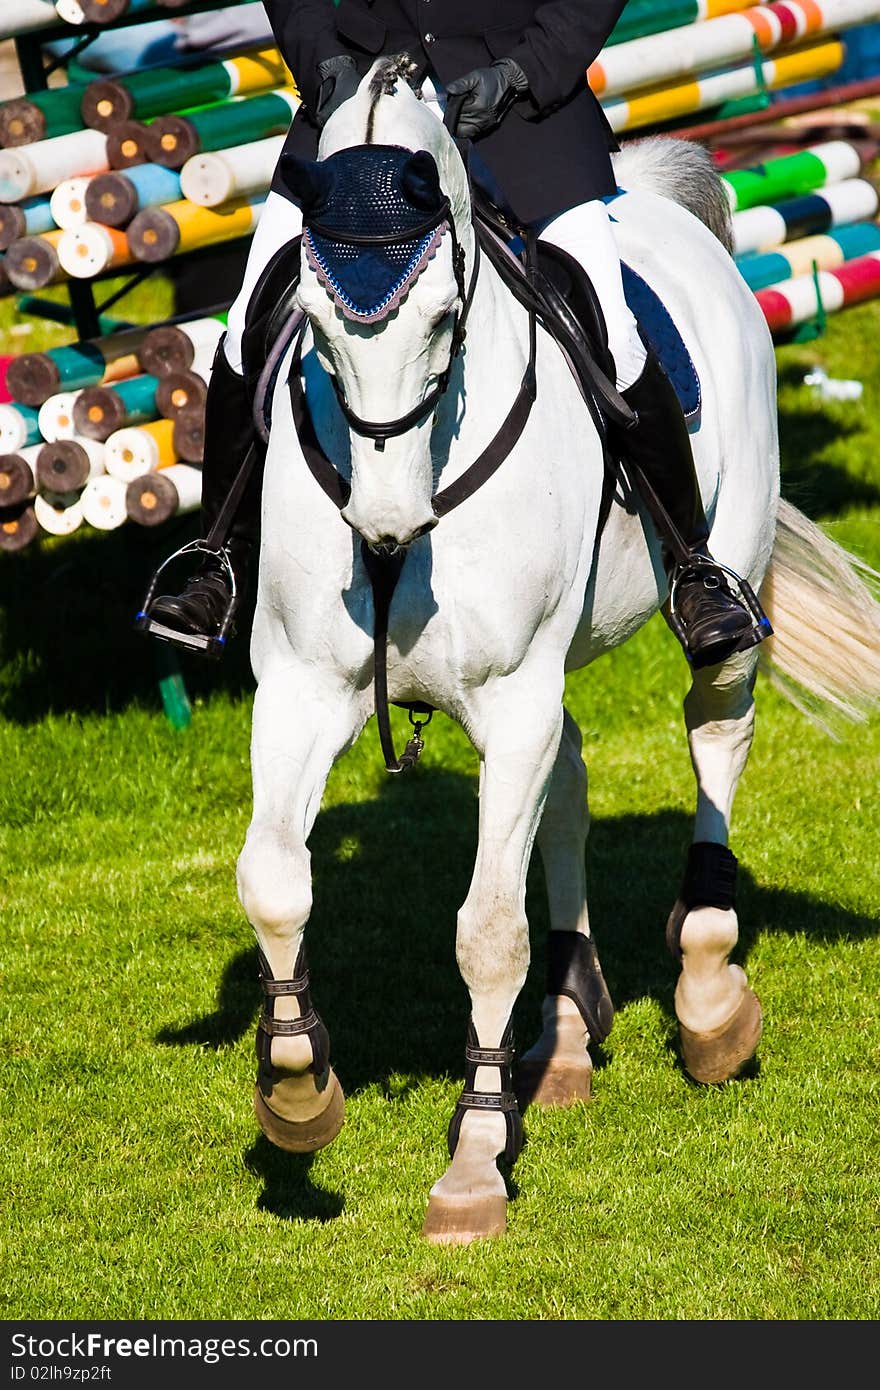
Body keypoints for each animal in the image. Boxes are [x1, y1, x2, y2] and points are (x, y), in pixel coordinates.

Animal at [233, 59, 878, 1245]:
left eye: (445, 319)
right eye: (310, 325)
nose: (384, 526)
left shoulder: (511, 701)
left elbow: (487, 929)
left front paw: (476, 1158)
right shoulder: (300, 691)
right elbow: (274, 882)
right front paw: (298, 1089)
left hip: (720, 592)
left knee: (716, 736)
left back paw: (707, 992)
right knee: (570, 782)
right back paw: (569, 1026)